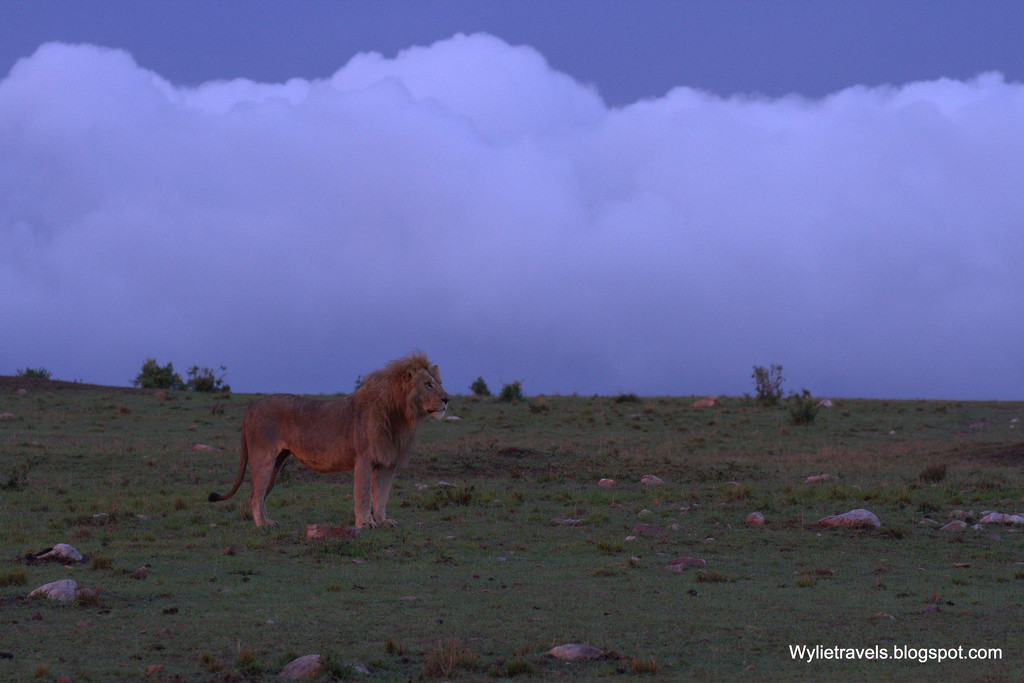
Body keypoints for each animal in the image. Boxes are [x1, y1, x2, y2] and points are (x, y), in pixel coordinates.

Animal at [207, 352, 448, 528]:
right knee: (255, 496)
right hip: (262, 458)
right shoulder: (364, 459)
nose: (447, 399)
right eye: (428, 384)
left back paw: (269, 521)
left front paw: (382, 521)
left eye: (438, 382)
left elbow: (382, 495)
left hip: (277, 463)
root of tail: (250, 407)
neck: (400, 414)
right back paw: (262, 525)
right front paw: (365, 524)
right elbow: (363, 495)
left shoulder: (387, 462)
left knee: (260, 494)